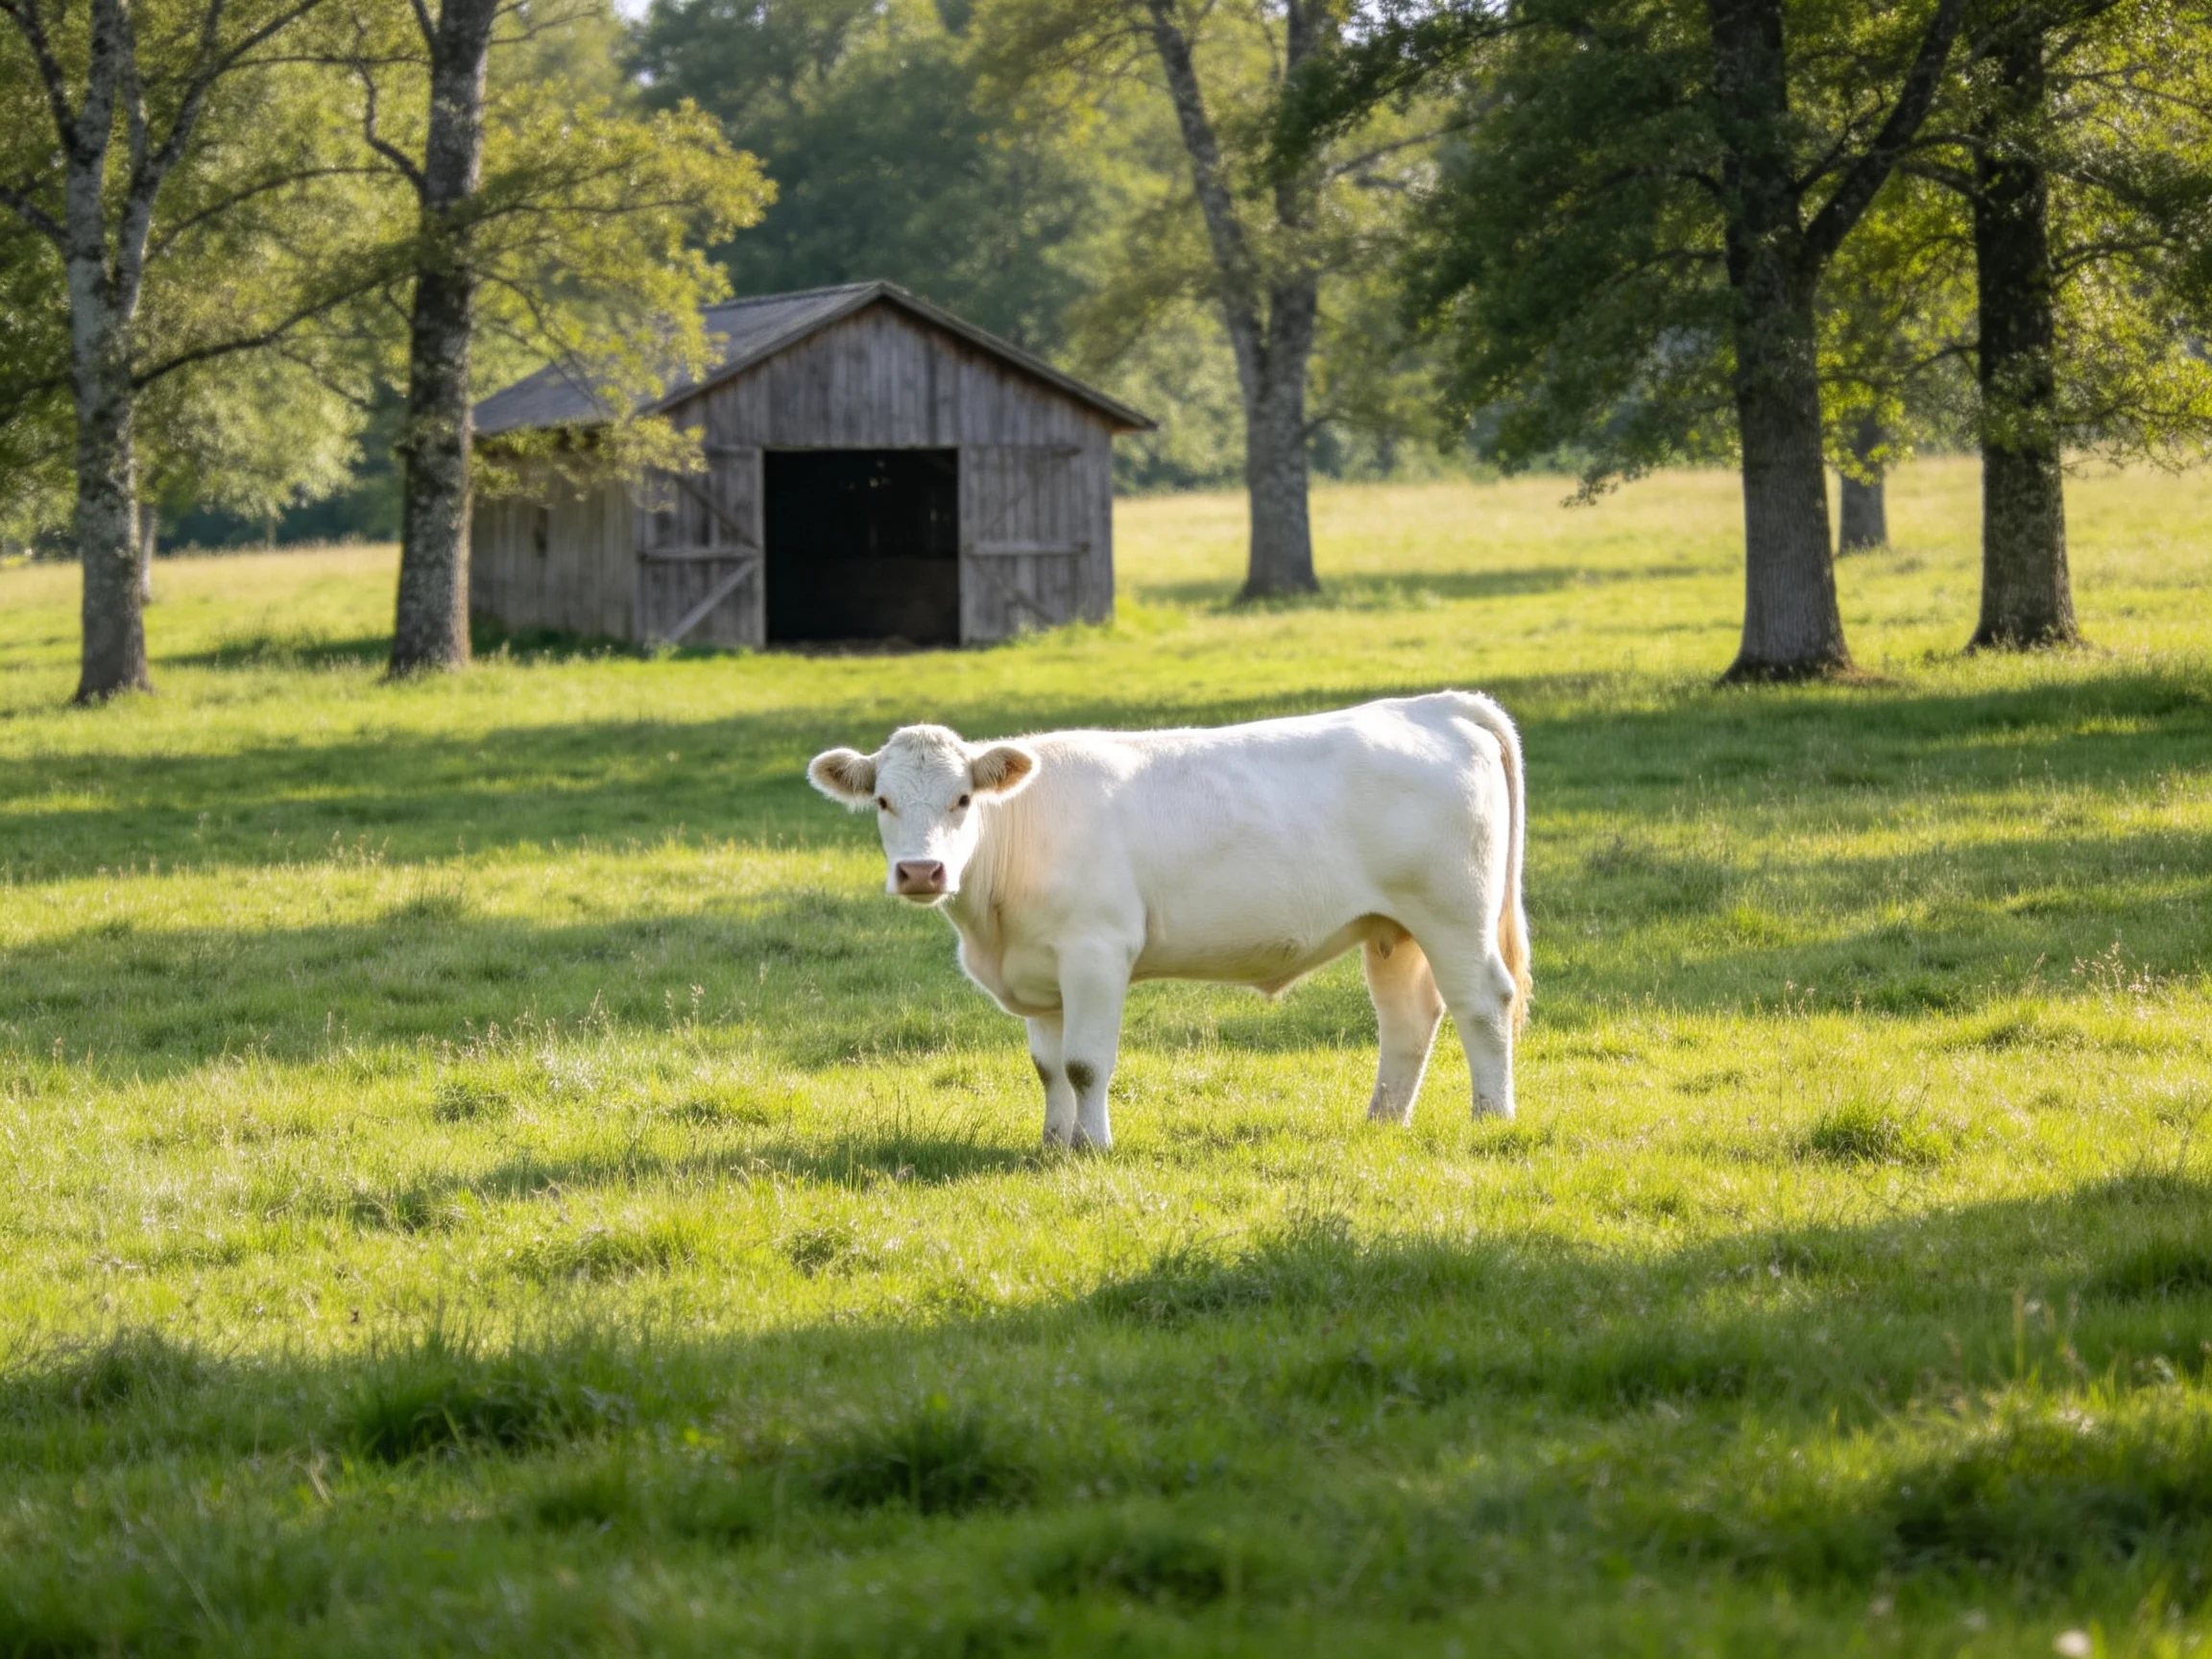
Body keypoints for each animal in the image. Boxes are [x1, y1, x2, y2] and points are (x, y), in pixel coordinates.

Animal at [807, 692, 1529, 1149]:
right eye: (882, 800)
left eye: (962, 799)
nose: (921, 871)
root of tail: (1435, 704)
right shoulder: (1040, 973)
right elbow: (1048, 1068)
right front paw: (1052, 1145)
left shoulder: (1096, 952)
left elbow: (1085, 1064)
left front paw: (1093, 1147)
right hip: (1390, 927)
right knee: (1408, 1016)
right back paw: (1382, 1122)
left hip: (1452, 913)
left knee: (1483, 1004)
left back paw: (1491, 1118)